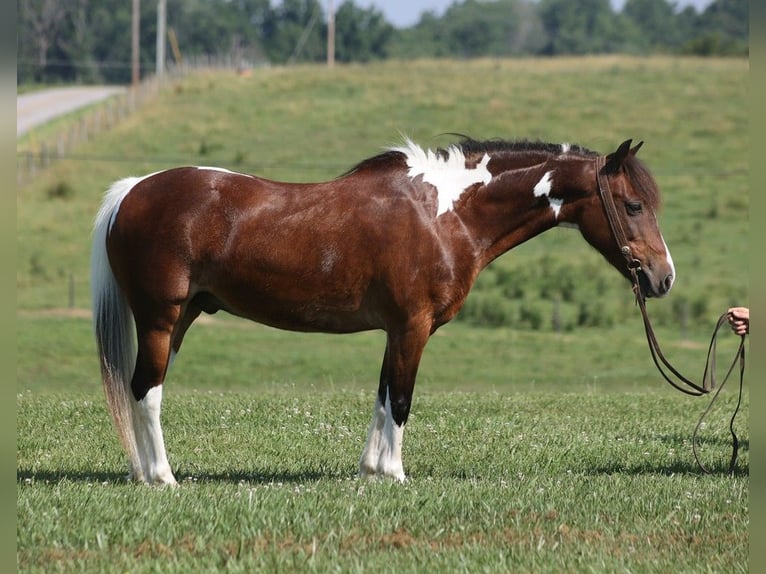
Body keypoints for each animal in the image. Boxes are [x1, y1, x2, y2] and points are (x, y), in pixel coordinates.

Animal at [91, 138, 680, 486]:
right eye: (633, 205)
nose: (664, 278)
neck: (446, 213)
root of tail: (133, 191)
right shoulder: (413, 327)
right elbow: (400, 399)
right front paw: (395, 475)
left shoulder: (396, 330)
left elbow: (381, 396)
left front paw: (372, 471)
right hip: (162, 318)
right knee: (146, 391)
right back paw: (162, 478)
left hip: (181, 318)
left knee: (140, 389)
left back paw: (143, 474)